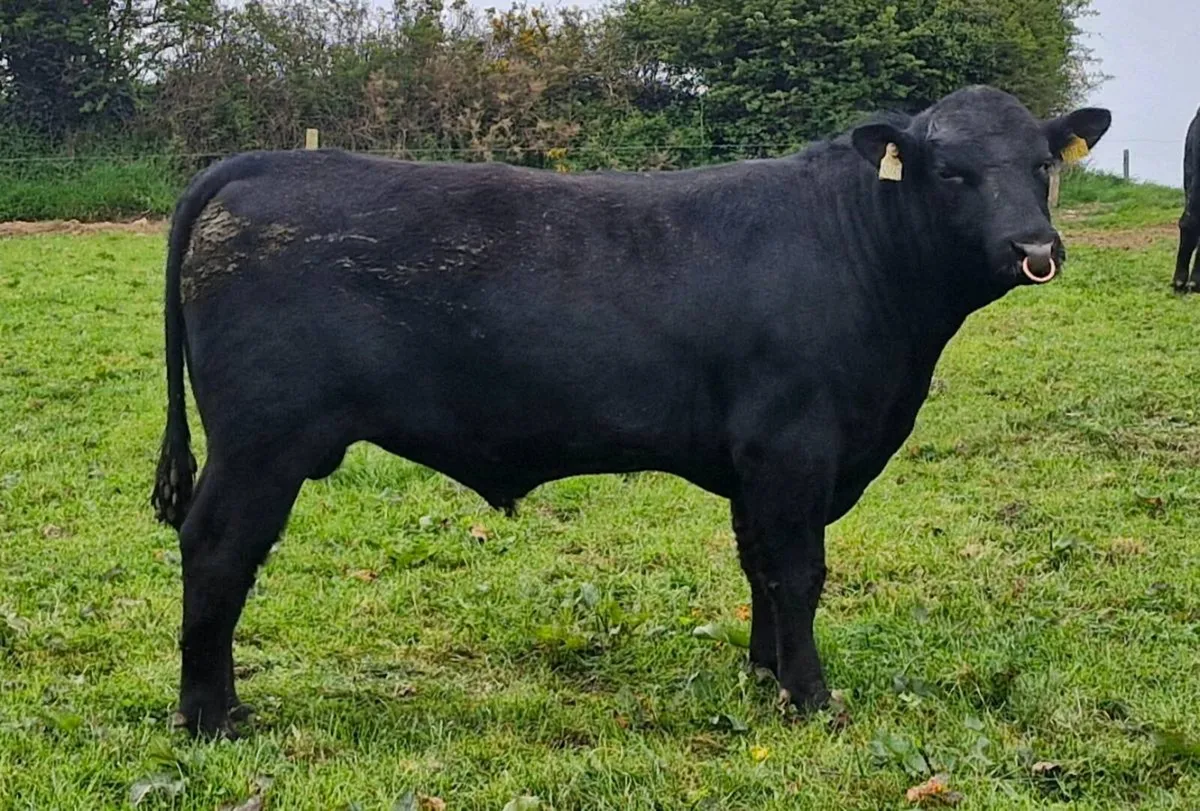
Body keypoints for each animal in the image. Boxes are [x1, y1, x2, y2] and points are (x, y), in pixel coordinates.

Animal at [150, 85, 1111, 738]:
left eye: (1042, 167)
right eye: (952, 173)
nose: (1035, 248)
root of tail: (265, 160)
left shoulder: (754, 462)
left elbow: (759, 567)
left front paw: (763, 675)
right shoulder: (795, 447)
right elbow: (799, 570)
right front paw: (812, 696)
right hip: (262, 441)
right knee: (218, 549)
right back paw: (211, 715)